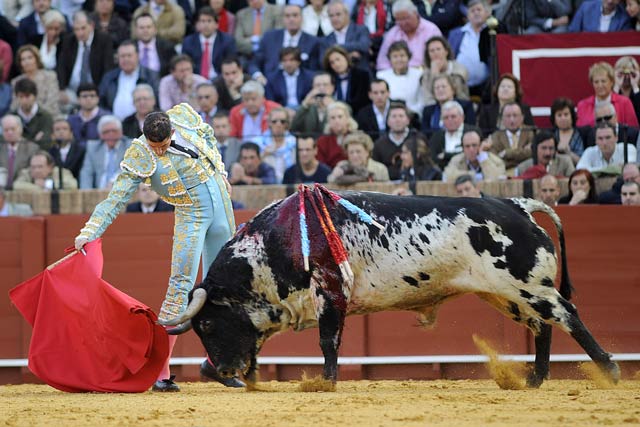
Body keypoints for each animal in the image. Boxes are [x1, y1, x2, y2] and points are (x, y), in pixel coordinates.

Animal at [162, 192, 624, 390]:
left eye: (207, 324)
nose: (219, 371)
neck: (278, 243)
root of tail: (519, 205)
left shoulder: (330, 293)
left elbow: (328, 341)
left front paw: (325, 383)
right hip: (507, 293)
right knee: (541, 326)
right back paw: (535, 378)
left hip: (527, 285)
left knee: (566, 314)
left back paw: (608, 369)